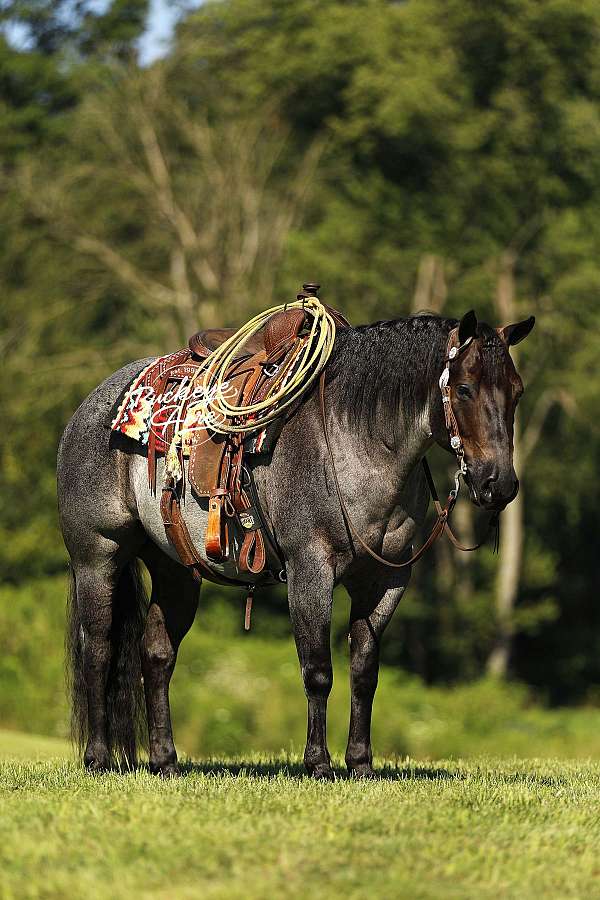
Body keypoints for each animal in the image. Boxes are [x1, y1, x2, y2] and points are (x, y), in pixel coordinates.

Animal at [57, 307, 534, 778]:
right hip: (98, 557)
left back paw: (165, 761)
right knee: (98, 649)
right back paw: (97, 757)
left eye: (517, 391)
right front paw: (319, 763)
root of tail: (91, 406)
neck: (350, 442)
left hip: (175, 570)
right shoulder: (310, 571)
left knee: (156, 655)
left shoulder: (386, 580)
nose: (499, 484)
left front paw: (360, 762)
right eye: (465, 388)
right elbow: (318, 670)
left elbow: (364, 671)